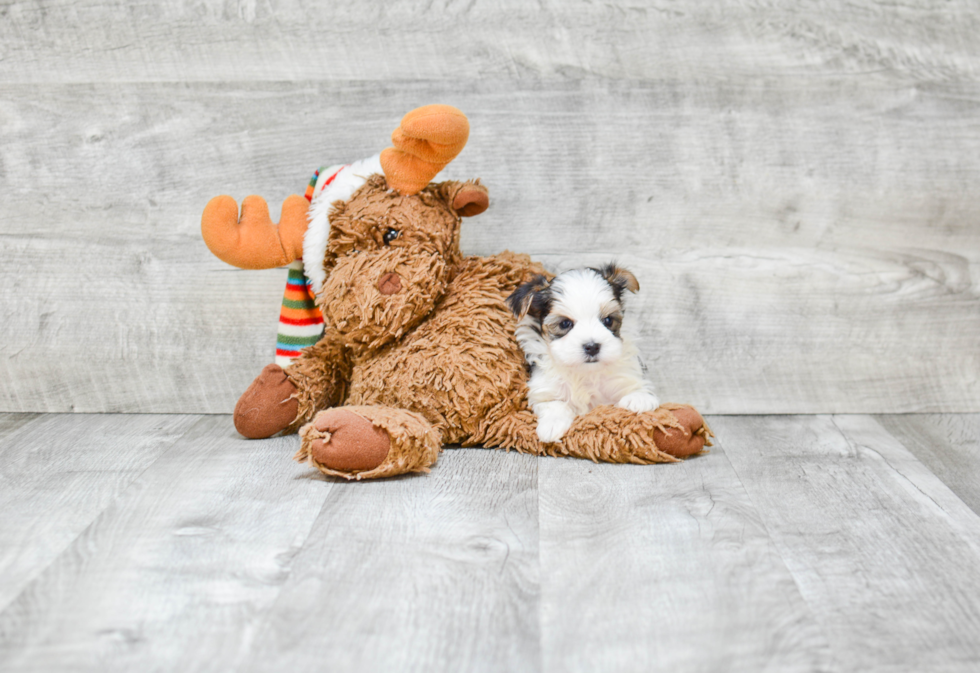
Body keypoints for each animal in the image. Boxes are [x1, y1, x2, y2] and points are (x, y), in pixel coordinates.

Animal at [506, 266, 660, 444]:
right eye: (565, 324)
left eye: (608, 320)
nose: (592, 347)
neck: (586, 373)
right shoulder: (544, 391)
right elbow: (554, 404)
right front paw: (552, 425)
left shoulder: (626, 377)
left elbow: (638, 388)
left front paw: (638, 399)